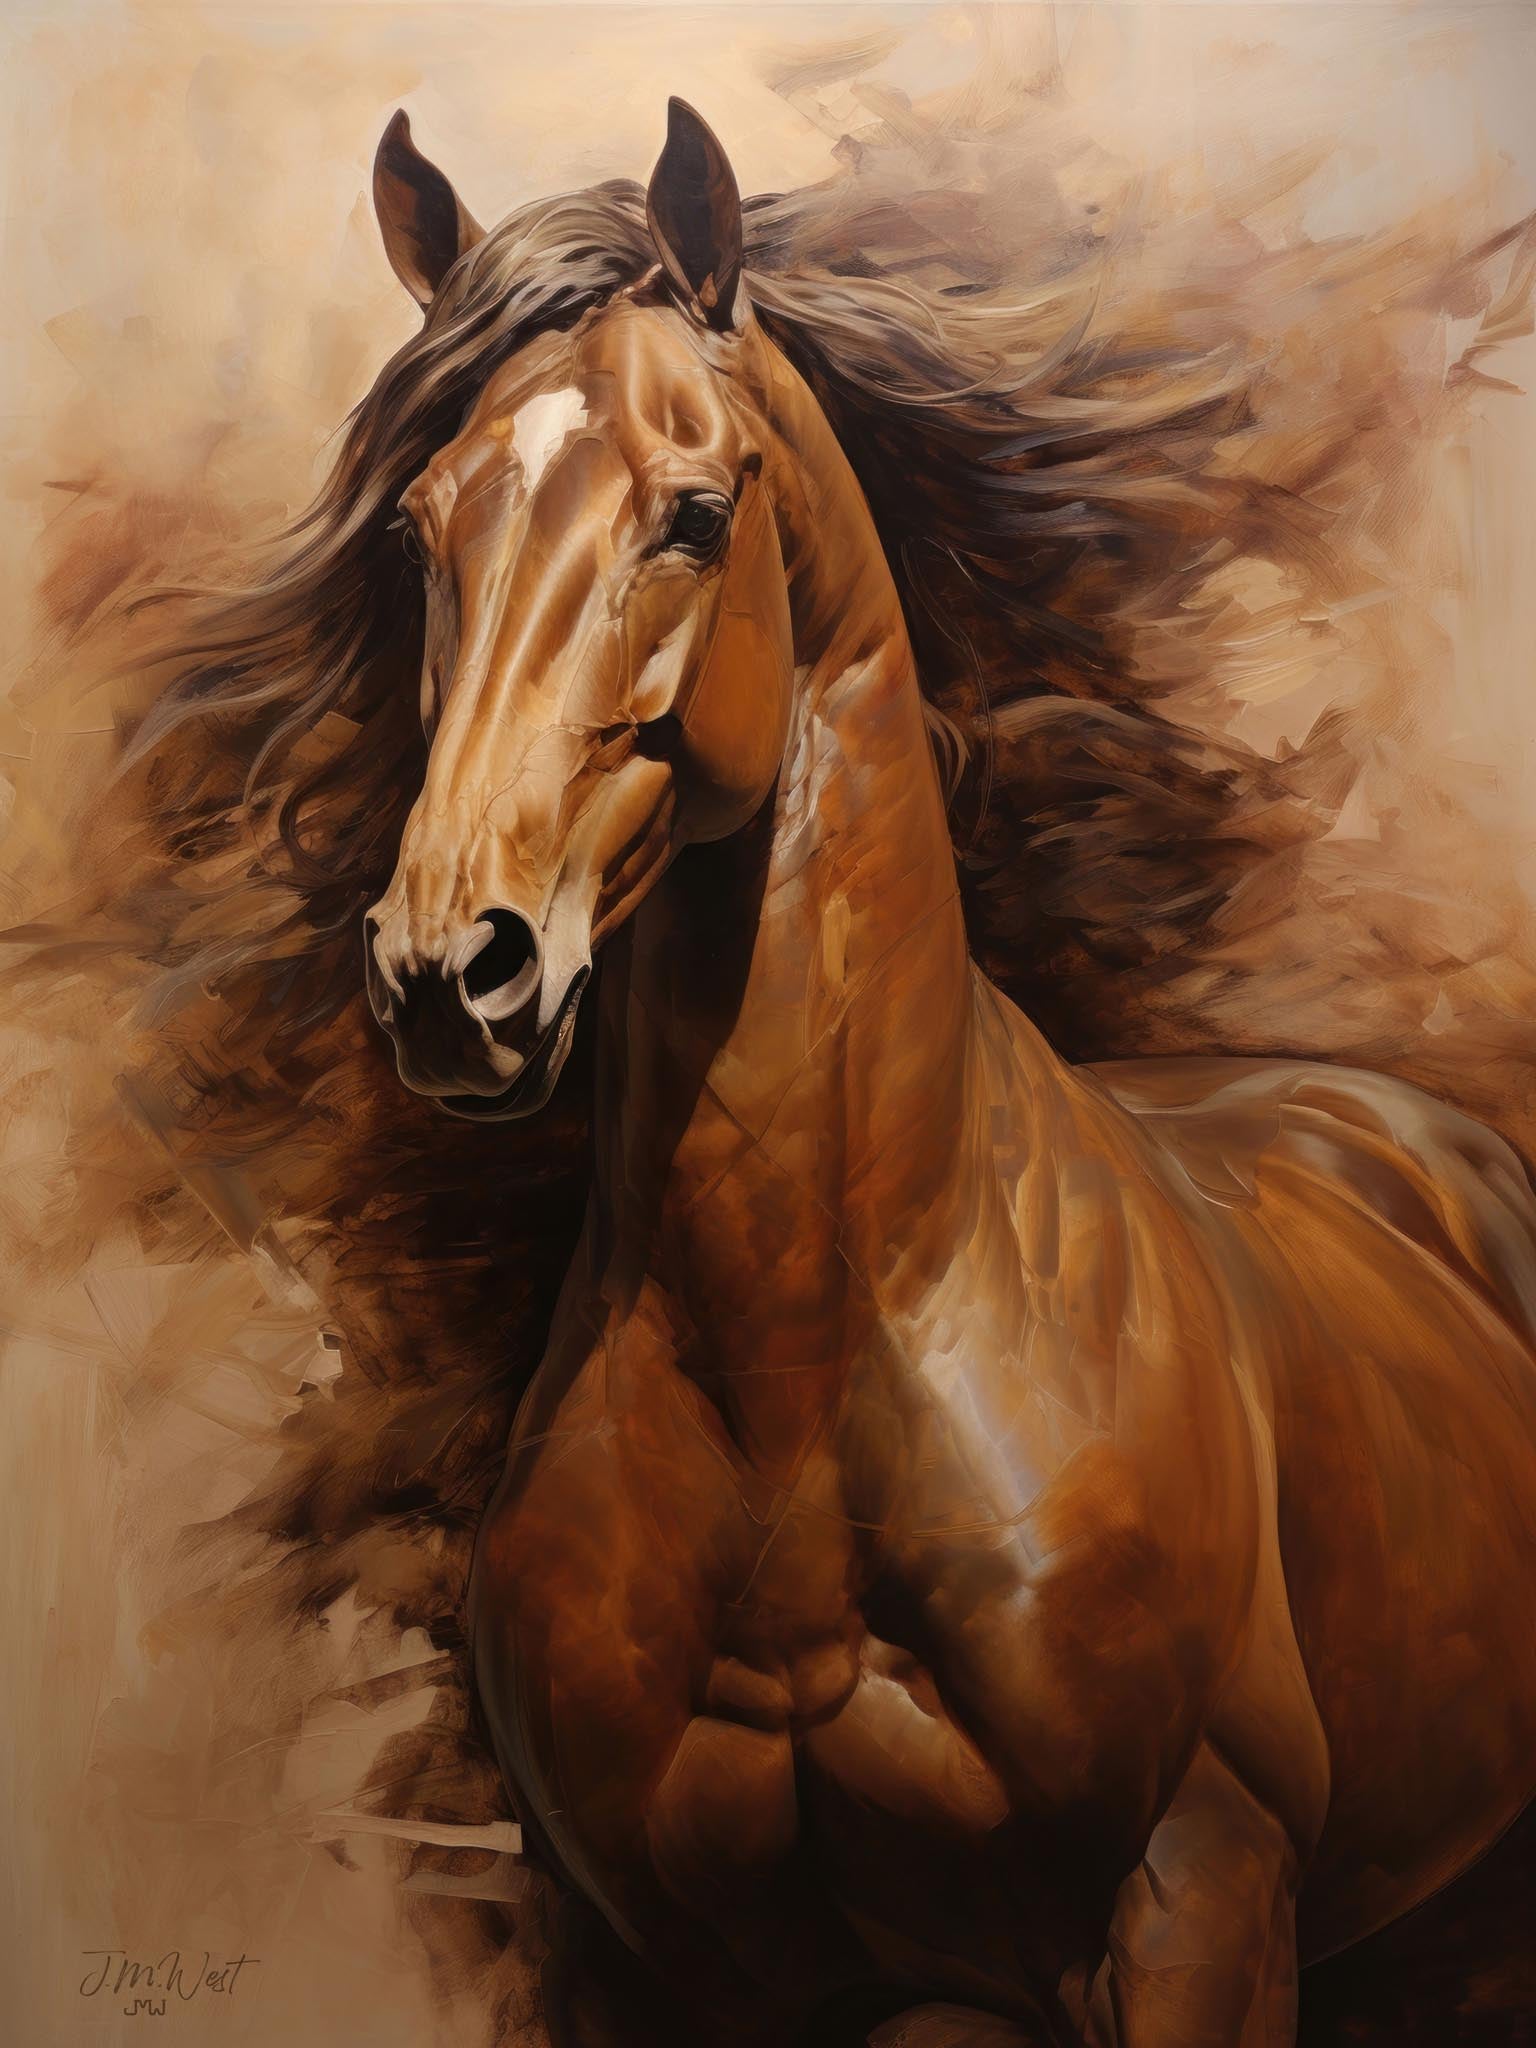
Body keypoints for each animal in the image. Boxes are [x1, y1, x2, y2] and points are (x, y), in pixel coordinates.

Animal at [349, 101, 1536, 2047]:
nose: (454, 971)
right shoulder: (681, 1970)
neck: (811, 1361)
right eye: (420, 526)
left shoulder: (1196, 1902)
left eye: (693, 513)